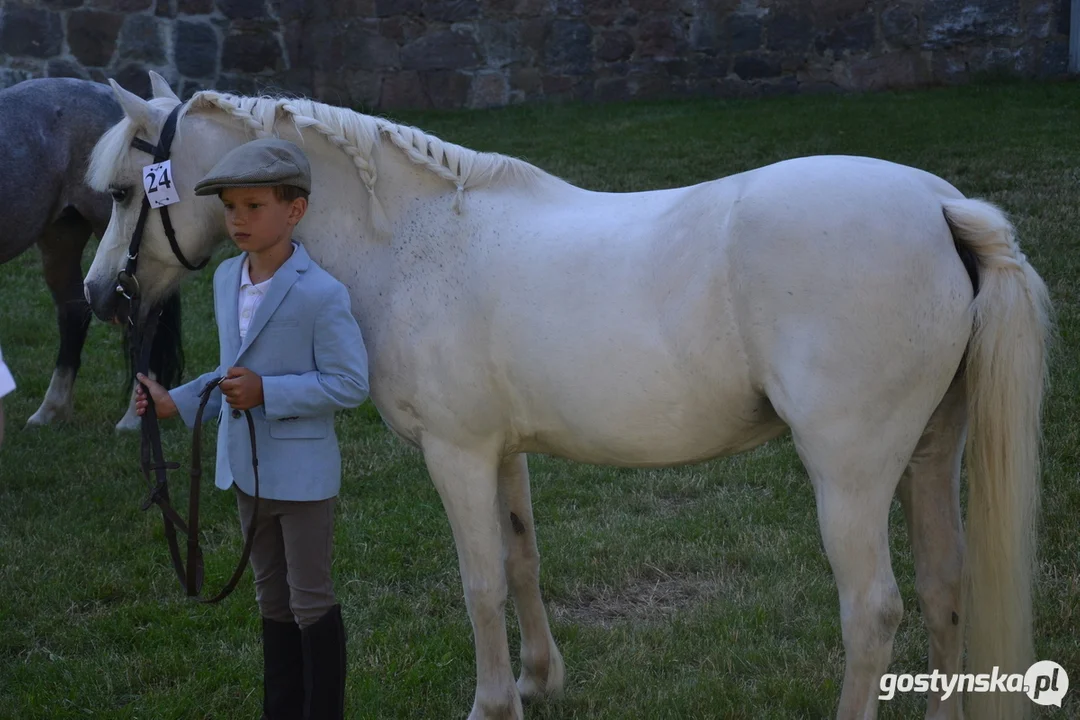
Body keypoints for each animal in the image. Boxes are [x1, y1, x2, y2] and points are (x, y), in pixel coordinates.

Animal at [82, 74, 1045, 720]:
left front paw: (492, 703)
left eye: (128, 191)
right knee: (944, 584)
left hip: (849, 471)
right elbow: (522, 561)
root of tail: (941, 208)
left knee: (873, 611)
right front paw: (540, 682)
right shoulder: (504, 451)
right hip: (931, 453)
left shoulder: (458, 454)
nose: (100, 297)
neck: (417, 241)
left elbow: (478, 582)